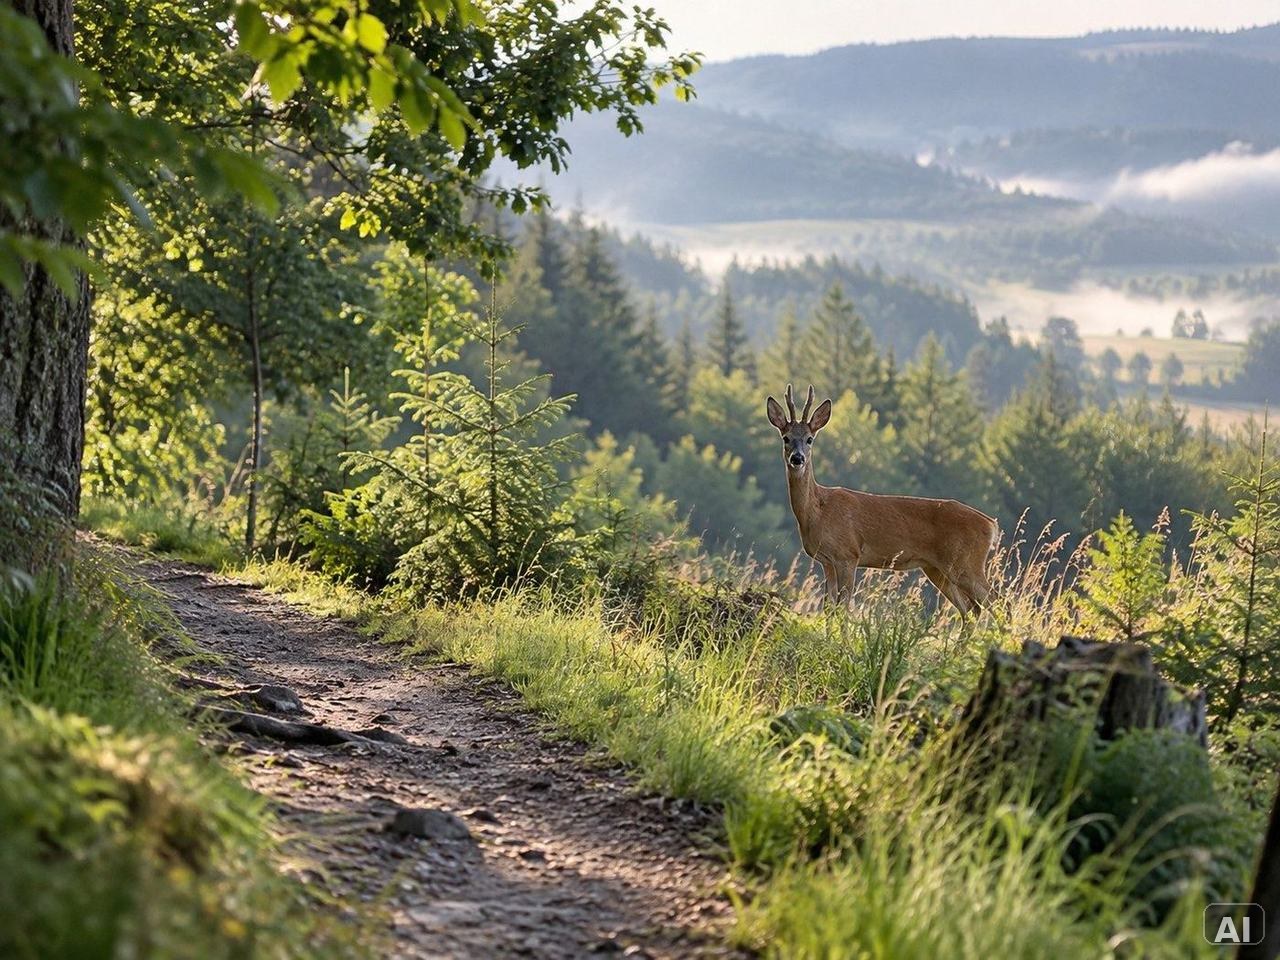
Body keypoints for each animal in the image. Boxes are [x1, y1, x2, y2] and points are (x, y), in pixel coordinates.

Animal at [766, 384, 998, 613]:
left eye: (809, 439)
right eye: (786, 438)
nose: (797, 458)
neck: (817, 511)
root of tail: (990, 523)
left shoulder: (848, 554)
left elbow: (843, 609)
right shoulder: (827, 561)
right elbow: (829, 608)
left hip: (965, 563)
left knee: (996, 601)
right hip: (937, 568)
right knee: (970, 609)